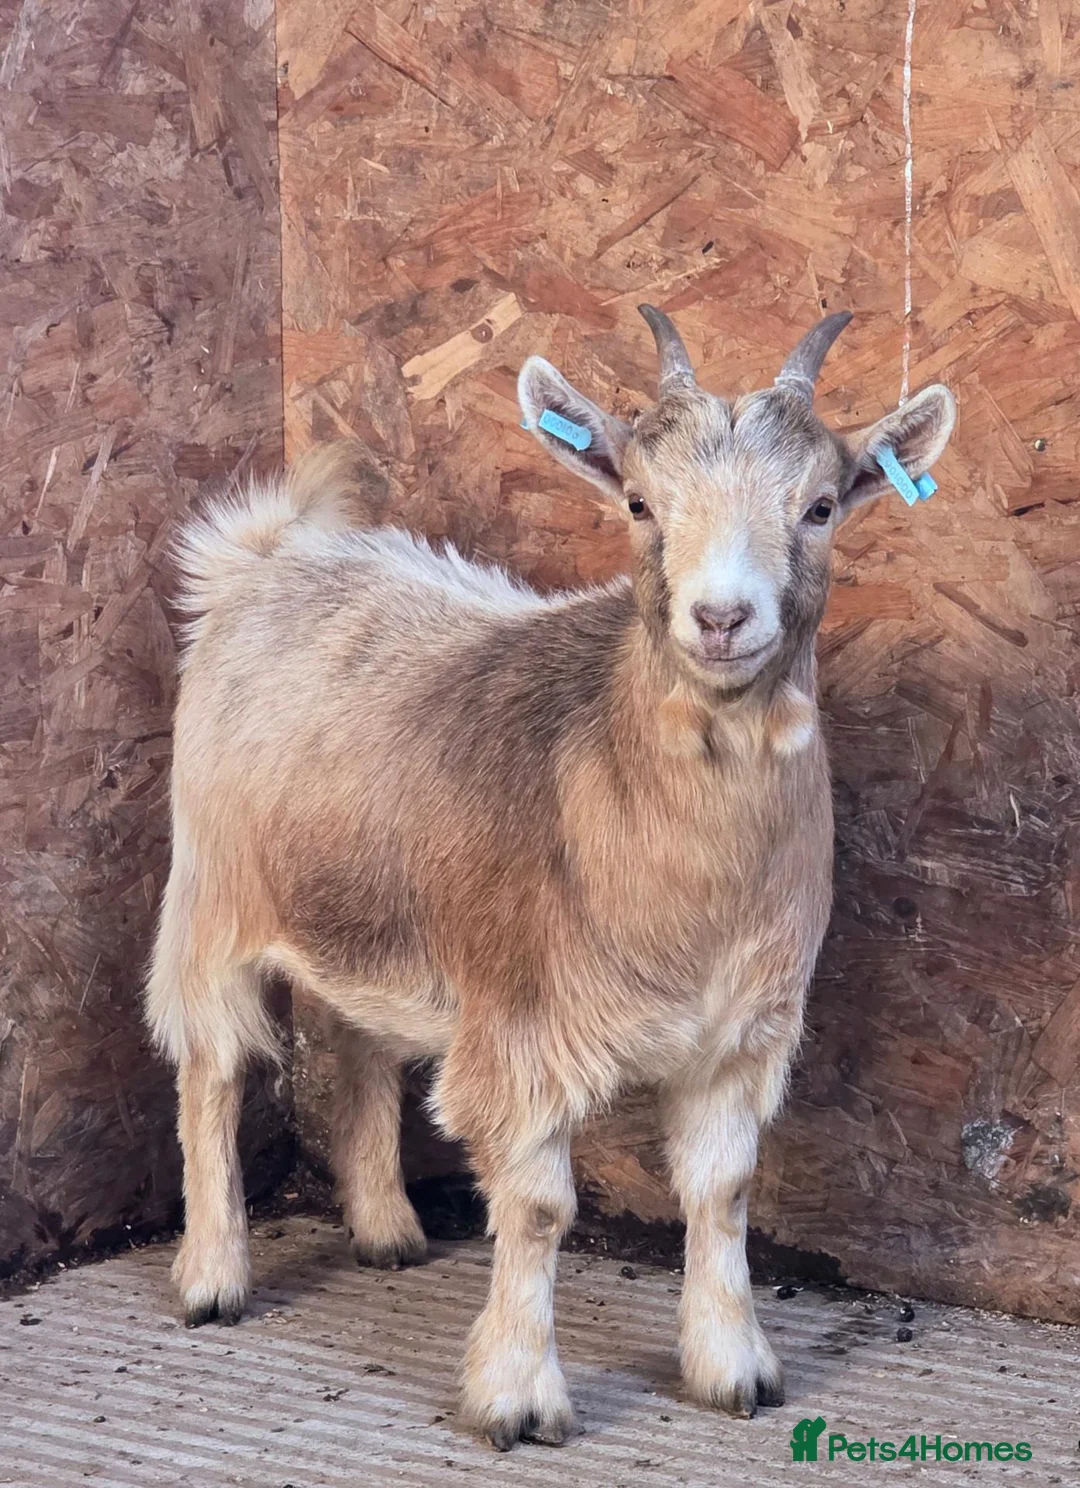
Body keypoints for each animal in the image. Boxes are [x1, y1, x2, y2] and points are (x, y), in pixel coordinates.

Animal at [147, 308, 955, 1450]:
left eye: (822, 505)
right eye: (639, 502)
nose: (721, 618)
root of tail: (271, 556)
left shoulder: (741, 1030)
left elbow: (723, 1191)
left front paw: (733, 1369)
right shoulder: (523, 1023)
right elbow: (537, 1210)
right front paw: (518, 1396)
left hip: (370, 905)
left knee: (355, 1034)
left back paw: (385, 1227)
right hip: (212, 887)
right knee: (211, 1065)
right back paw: (213, 1276)